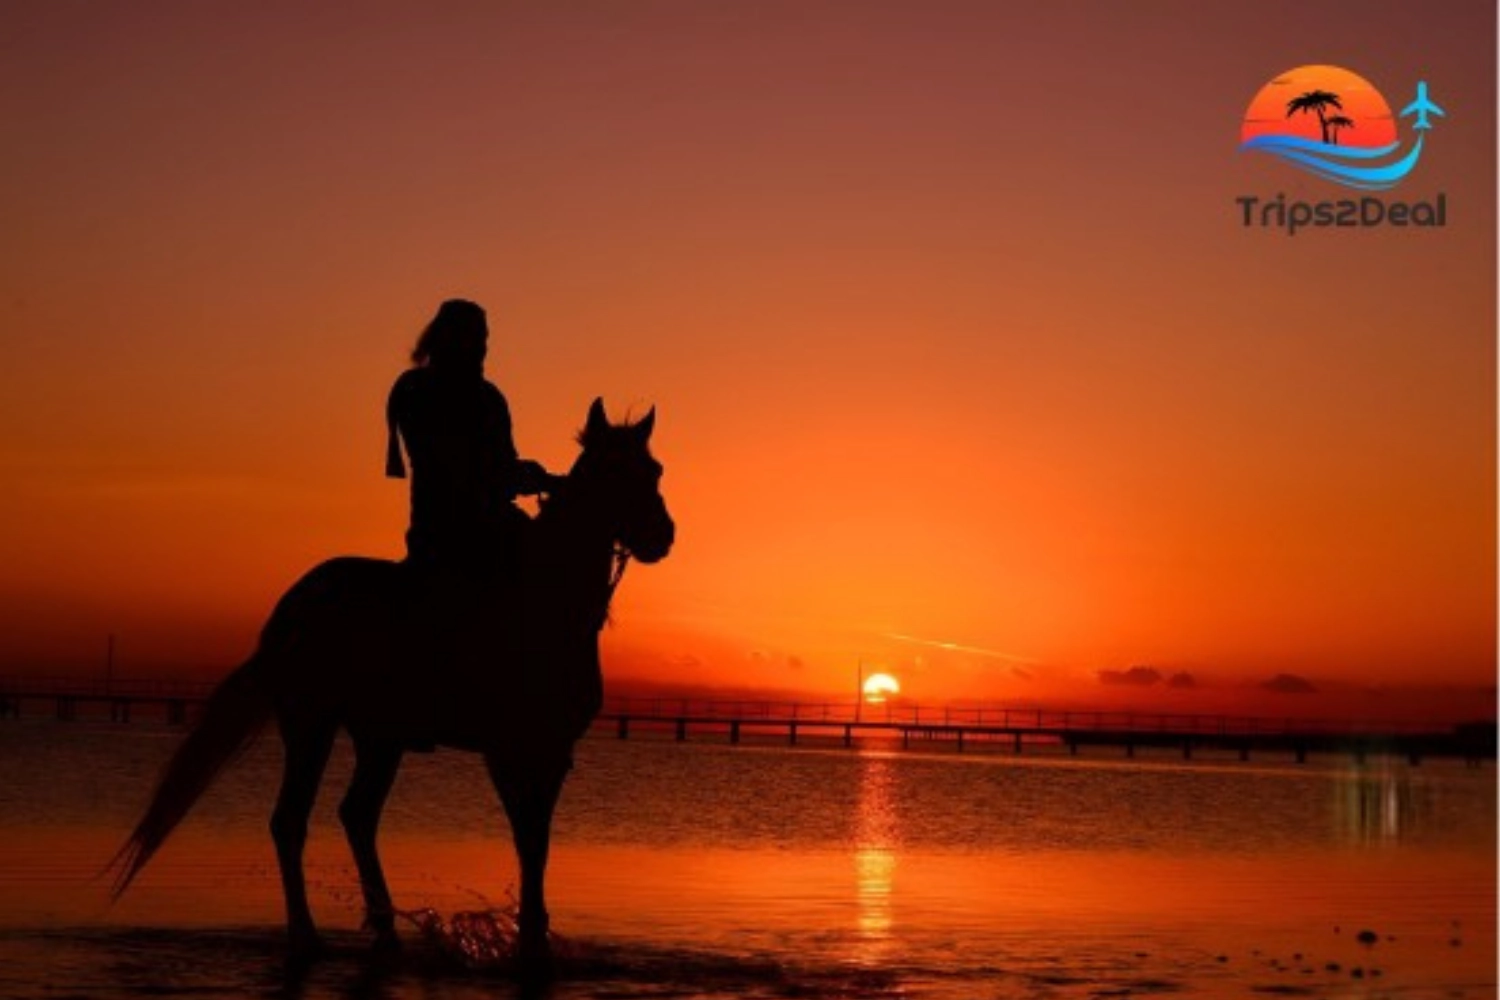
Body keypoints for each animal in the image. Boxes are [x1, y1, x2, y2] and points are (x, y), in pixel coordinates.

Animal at [110, 397, 675, 974]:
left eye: (654, 470)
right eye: (612, 472)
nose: (662, 536)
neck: (547, 601)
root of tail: (293, 605)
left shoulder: (554, 750)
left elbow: (537, 841)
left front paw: (534, 937)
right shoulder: (505, 749)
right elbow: (527, 836)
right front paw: (530, 942)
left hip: (380, 738)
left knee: (357, 815)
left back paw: (384, 932)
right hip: (311, 723)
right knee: (290, 820)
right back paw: (307, 936)